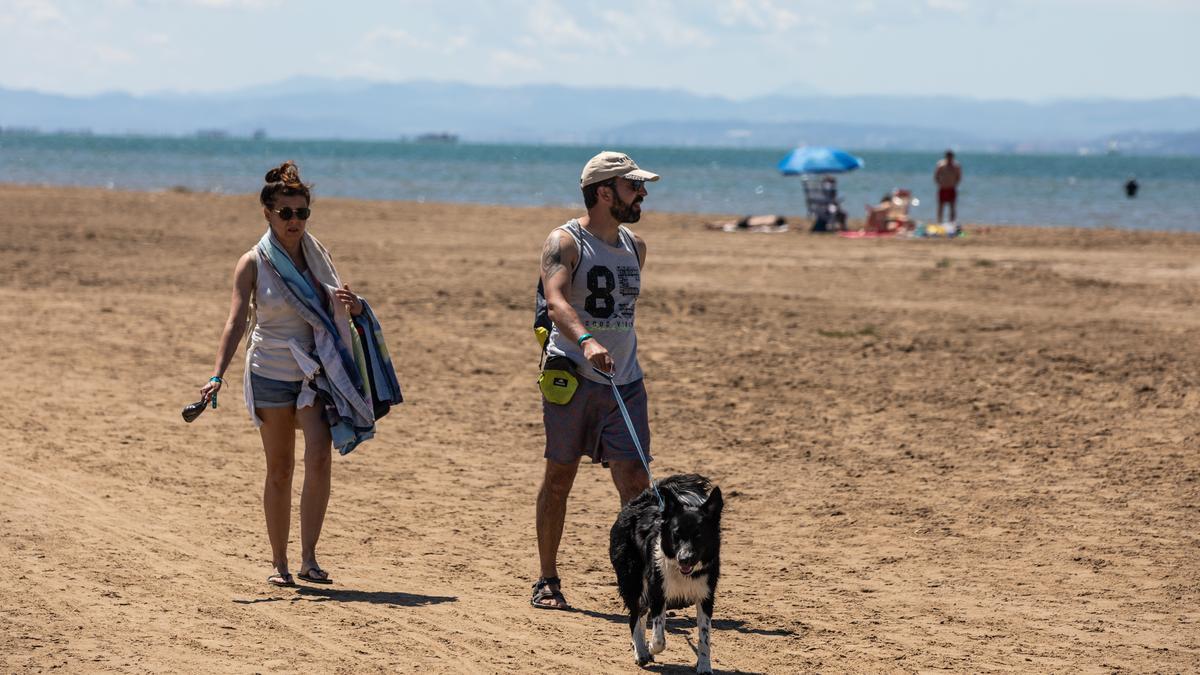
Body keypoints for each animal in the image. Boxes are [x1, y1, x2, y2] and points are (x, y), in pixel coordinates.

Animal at [609, 473, 720, 672]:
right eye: (676, 534)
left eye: (699, 535)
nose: (684, 559)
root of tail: (644, 499)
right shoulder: (658, 592)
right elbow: (659, 638)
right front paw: (650, 647)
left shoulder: (706, 596)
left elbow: (704, 637)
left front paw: (704, 666)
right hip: (632, 581)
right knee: (635, 616)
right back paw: (641, 652)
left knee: (641, 613)